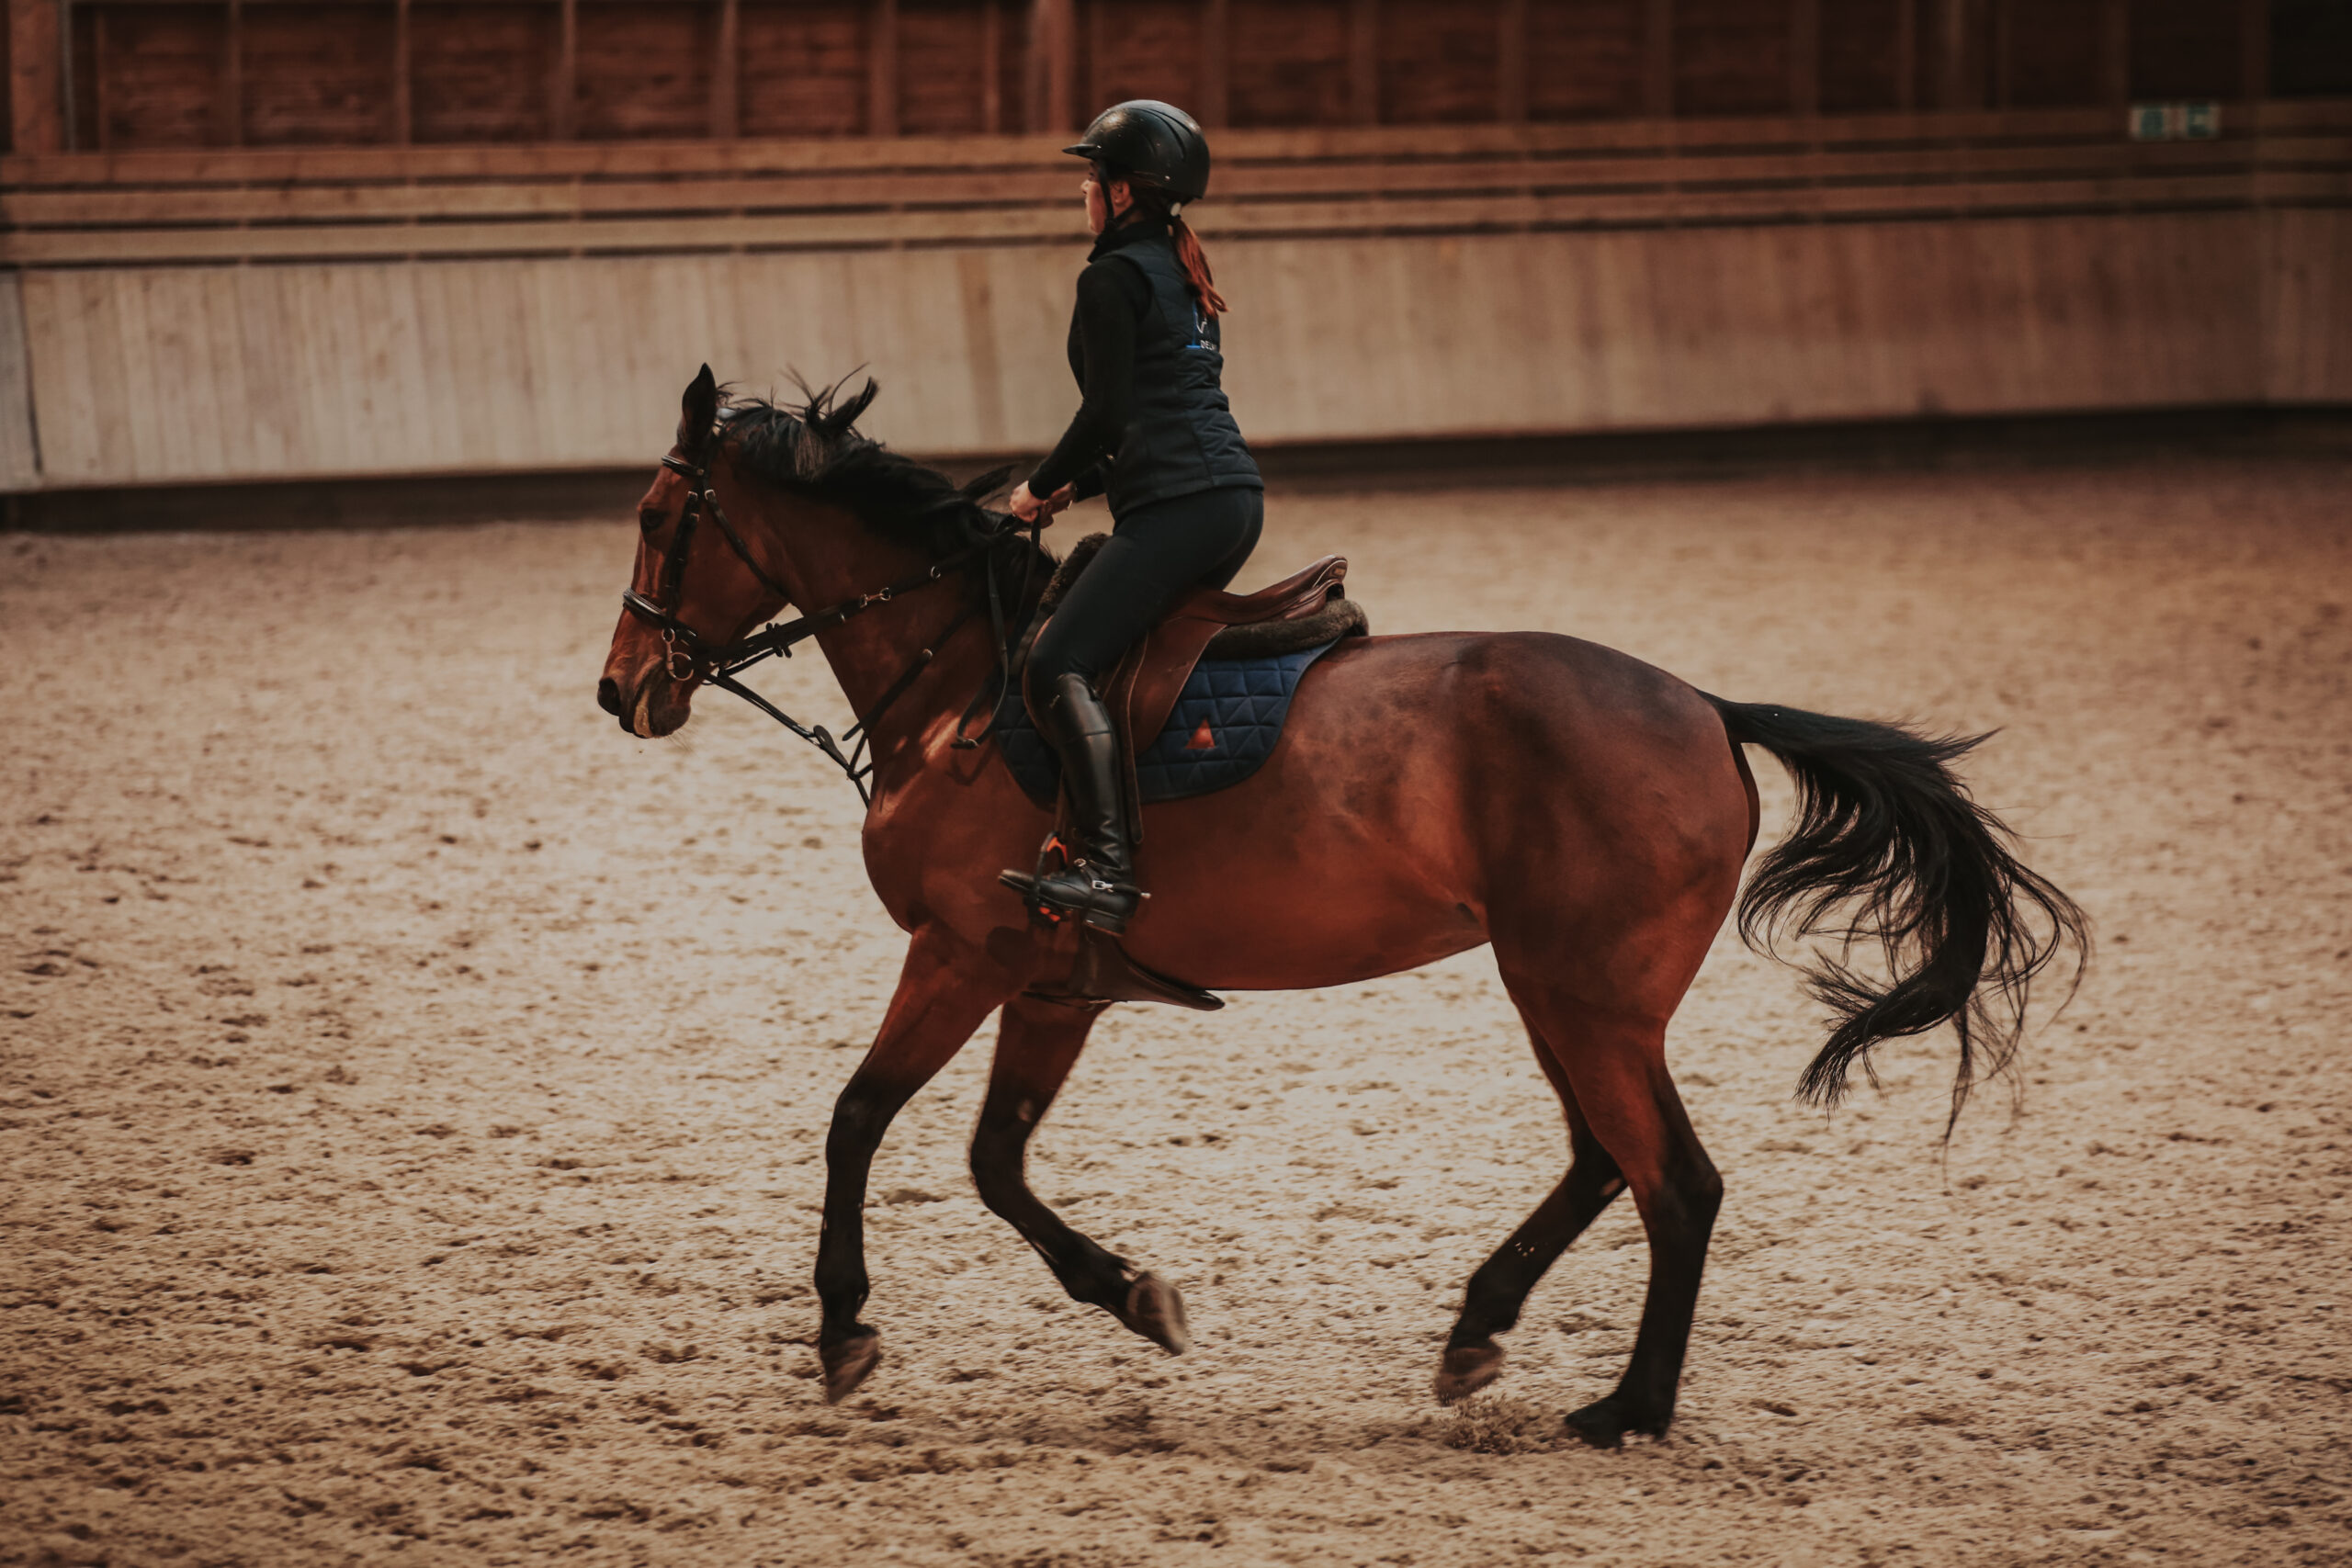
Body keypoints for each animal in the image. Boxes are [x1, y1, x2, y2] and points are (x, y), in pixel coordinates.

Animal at [596, 367, 2087, 1447]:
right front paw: (1137, 1297)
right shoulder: (1049, 980)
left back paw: (1629, 1408)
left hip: (1585, 995)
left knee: (1676, 1181)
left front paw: (844, 1330)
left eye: (663, 523)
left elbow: (858, 1119)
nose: (621, 692)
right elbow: (995, 1162)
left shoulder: (959, 955)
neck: (960, 684)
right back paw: (1479, 1332)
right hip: (1553, 987)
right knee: (1606, 1160)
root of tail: (1706, 708)